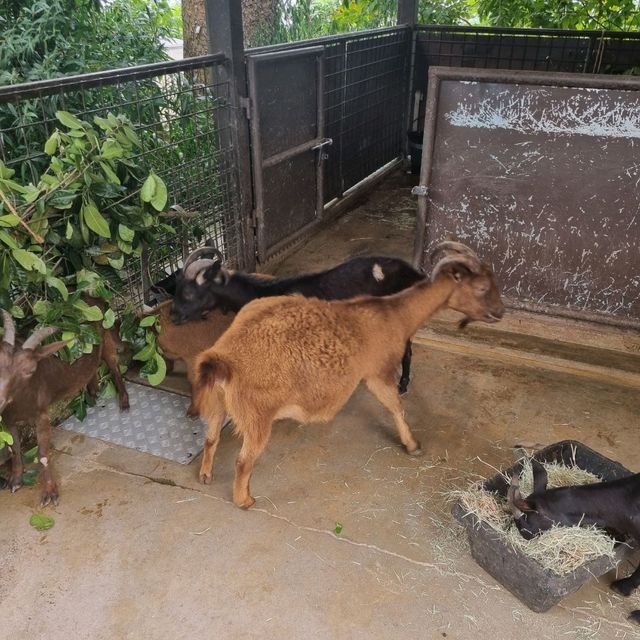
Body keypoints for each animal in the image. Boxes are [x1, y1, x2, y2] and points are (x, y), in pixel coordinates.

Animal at [0, 310, 130, 504]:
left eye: (30, 370)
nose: (0, 398)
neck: (20, 404)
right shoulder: (8, 417)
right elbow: (14, 448)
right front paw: (15, 481)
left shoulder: (41, 415)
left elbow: (43, 455)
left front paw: (50, 493)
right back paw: (93, 389)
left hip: (106, 336)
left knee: (114, 365)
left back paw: (124, 401)